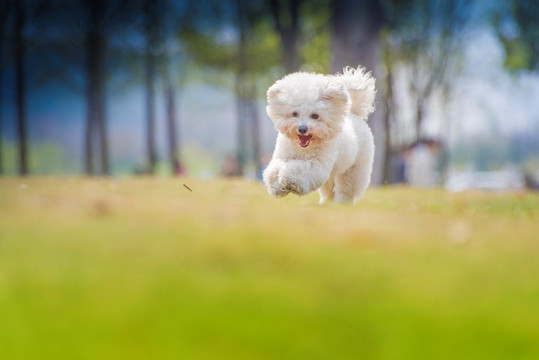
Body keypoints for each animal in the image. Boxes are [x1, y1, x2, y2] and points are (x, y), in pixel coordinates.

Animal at [262, 66, 376, 204]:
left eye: (315, 116)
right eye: (294, 114)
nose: (302, 129)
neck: (302, 149)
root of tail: (354, 114)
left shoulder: (316, 166)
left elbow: (299, 170)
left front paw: (290, 180)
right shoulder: (282, 156)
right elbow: (274, 169)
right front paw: (277, 186)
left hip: (354, 169)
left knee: (347, 189)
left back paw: (341, 204)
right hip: (331, 176)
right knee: (329, 190)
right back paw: (326, 203)